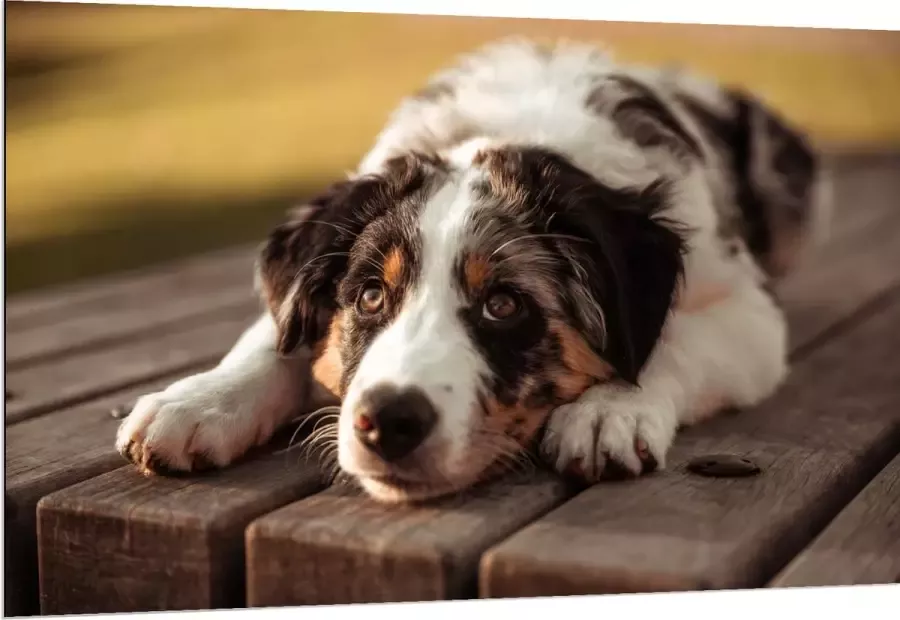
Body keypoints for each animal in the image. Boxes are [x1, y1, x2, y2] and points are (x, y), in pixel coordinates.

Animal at [118, 37, 828, 504]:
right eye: (370, 296)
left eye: (504, 305)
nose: (388, 423)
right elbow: (274, 336)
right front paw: (197, 402)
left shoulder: (749, 312)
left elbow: (672, 340)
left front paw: (610, 411)